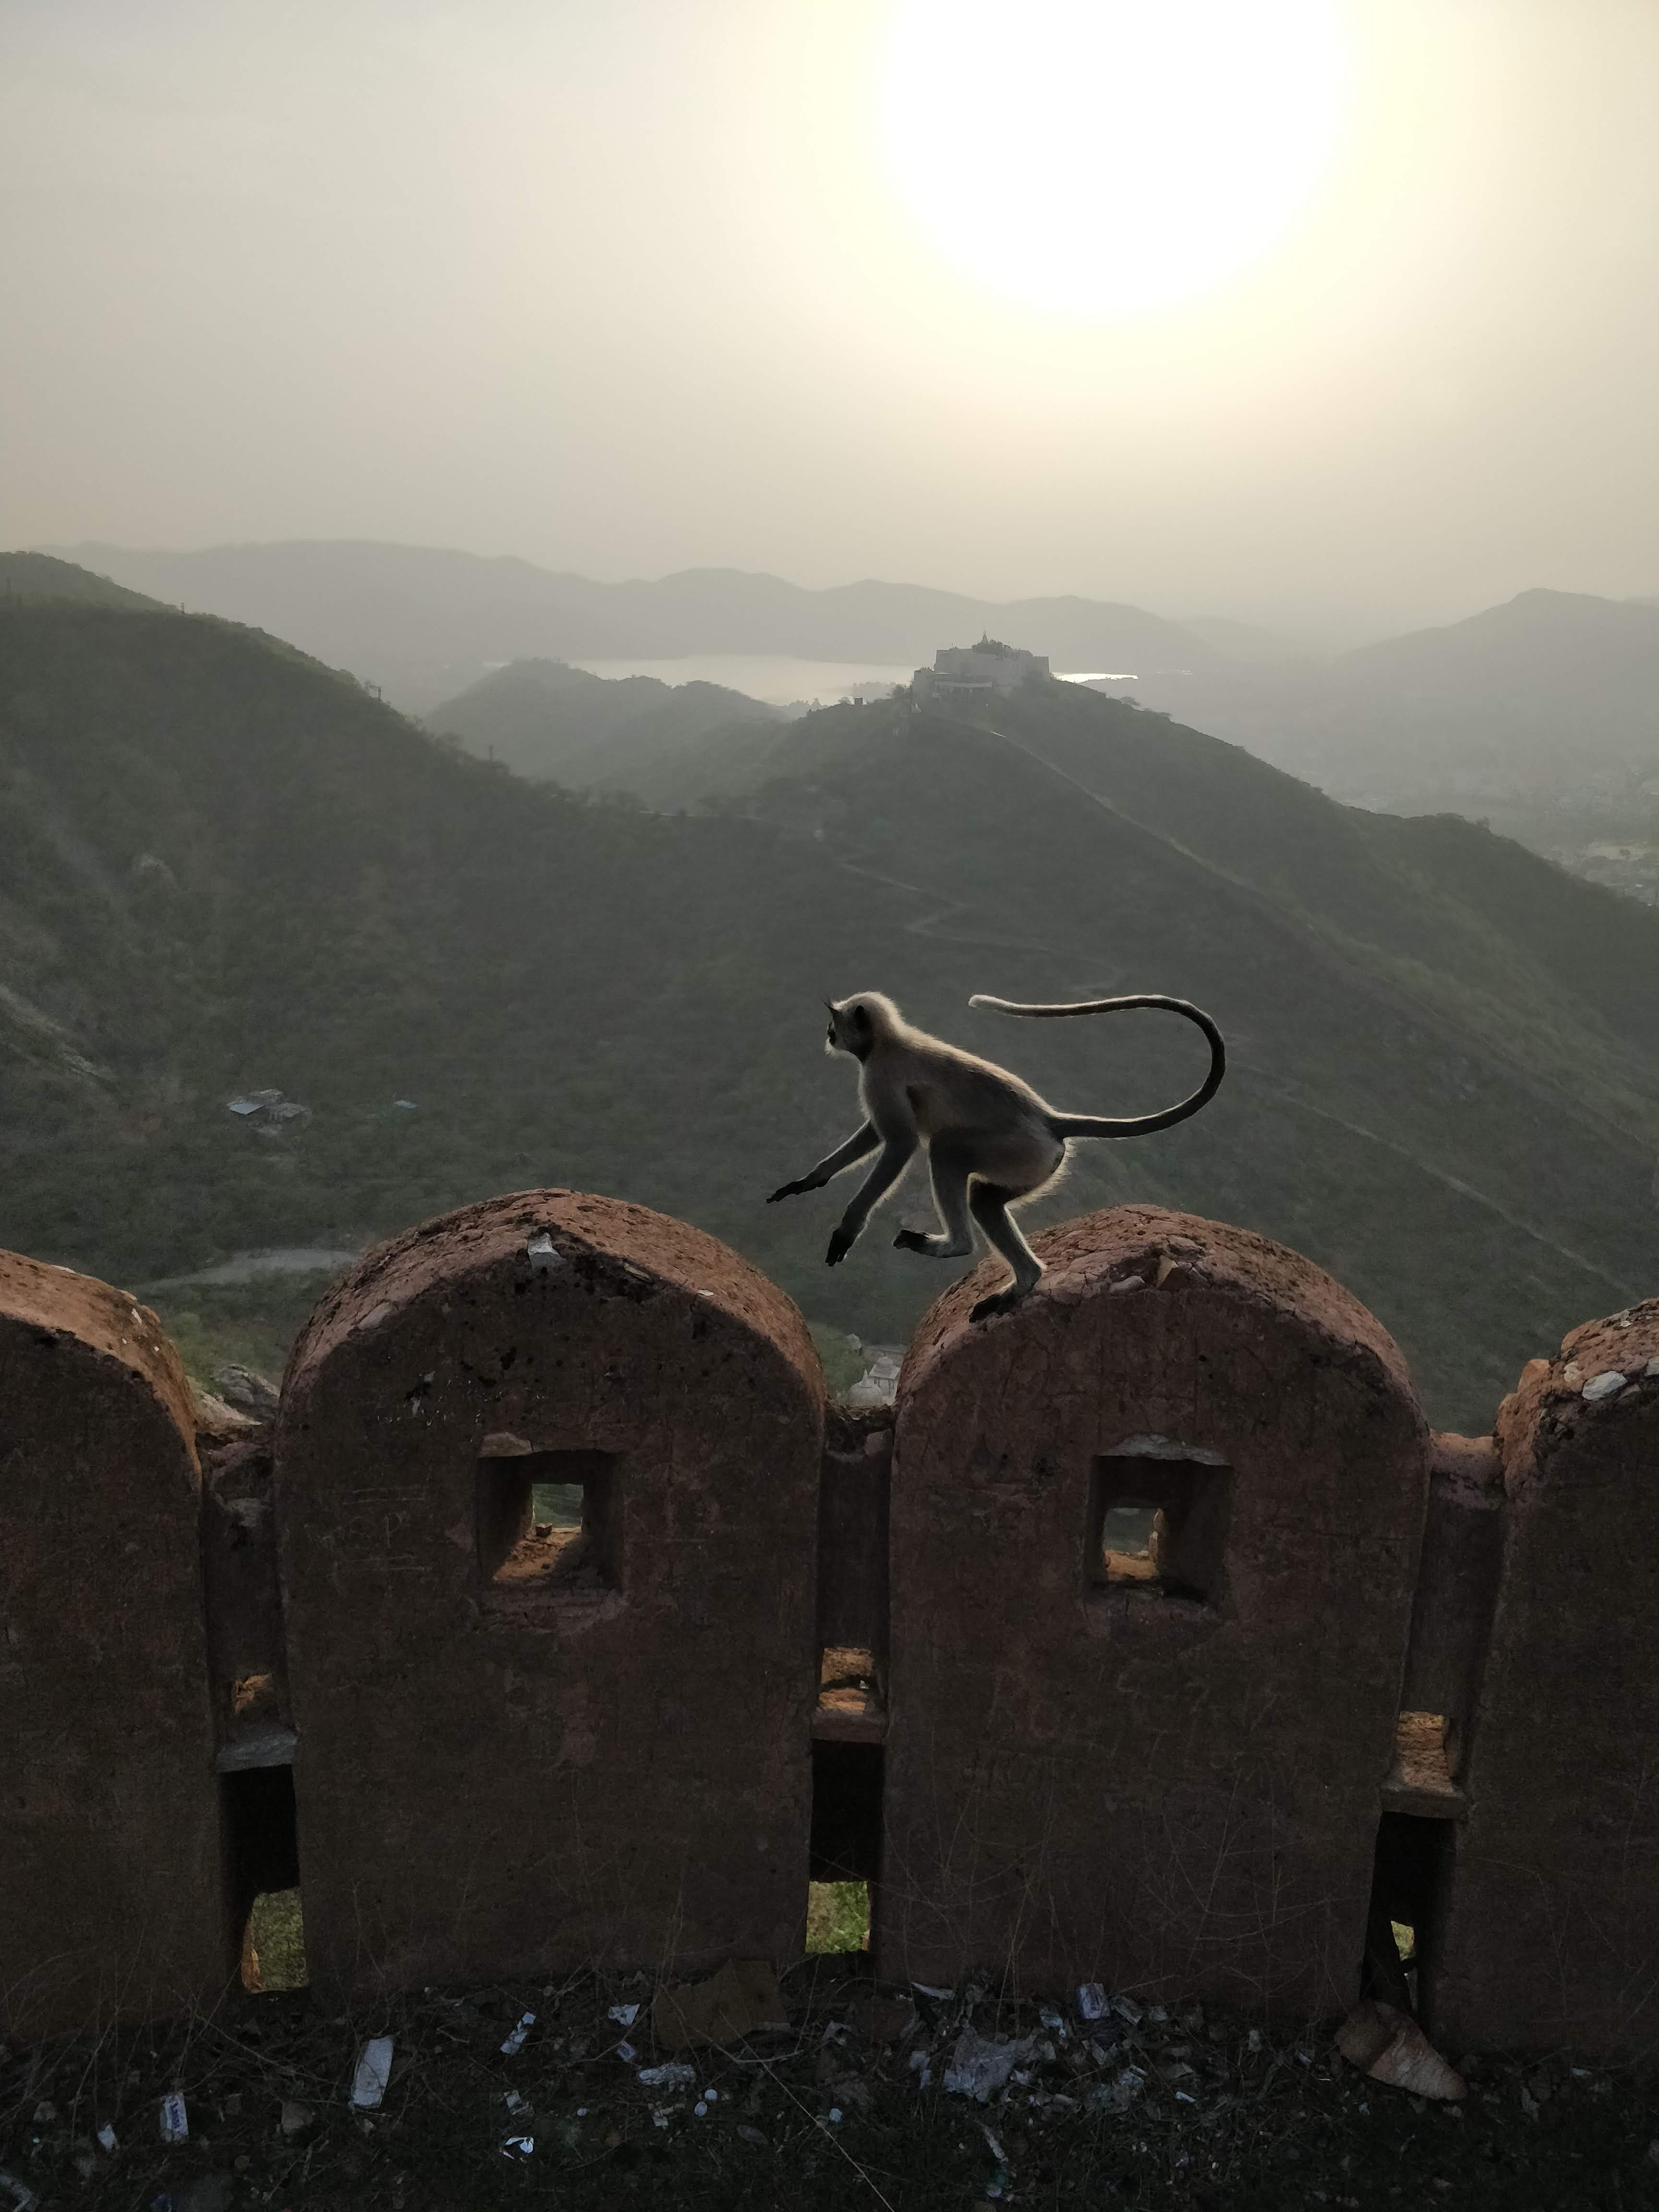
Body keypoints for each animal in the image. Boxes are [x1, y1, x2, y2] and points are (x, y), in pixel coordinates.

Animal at [767, 989, 1224, 1322]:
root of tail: (1049, 1121)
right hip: (1035, 1166)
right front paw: (809, 1182)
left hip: (1017, 1151)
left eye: (835, 1022)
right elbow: (874, 1136)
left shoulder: (880, 1073)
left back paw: (955, 1246)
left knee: (946, 1151)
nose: (828, 1033)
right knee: (985, 1199)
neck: (888, 1041)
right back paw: (1024, 1280)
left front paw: (847, 1230)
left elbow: (900, 1143)